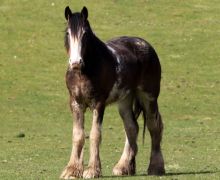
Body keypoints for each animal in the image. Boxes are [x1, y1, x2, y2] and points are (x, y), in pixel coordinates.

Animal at [60, 5, 165, 179]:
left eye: (85, 34)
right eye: (68, 33)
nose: (75, 62)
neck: (84, 71)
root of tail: (144, 44)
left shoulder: (98, 104)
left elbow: (95, 135)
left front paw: (92, 170)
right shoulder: (75, 103)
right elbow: (78, 135)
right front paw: (72, 170)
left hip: (149, 97)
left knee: (154, 126)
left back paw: (156, 168)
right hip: (125, 100)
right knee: (132, 127)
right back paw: (123, 167)